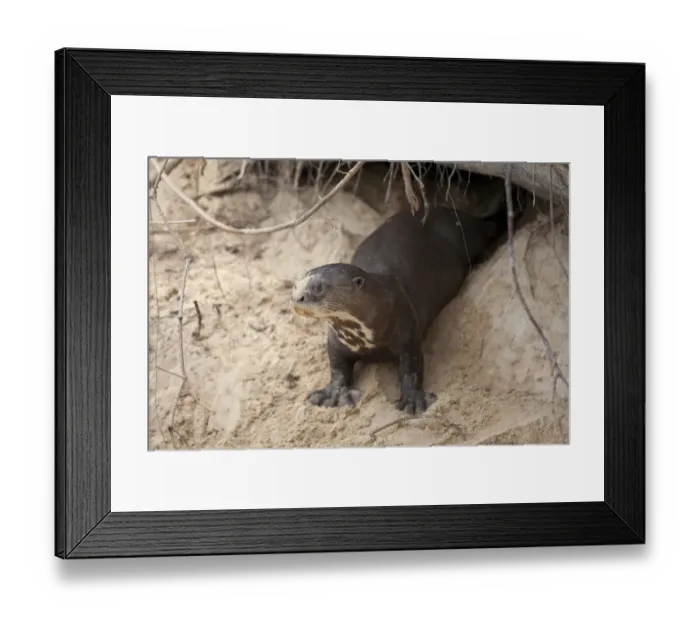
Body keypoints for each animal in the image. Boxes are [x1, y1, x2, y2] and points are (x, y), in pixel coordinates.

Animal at [291, 176, 515, 415]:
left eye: (319, 287)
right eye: (296, 286)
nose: (297, 298)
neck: (365, 337)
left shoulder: (408, 330)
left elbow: (411, 368)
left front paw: (412, 400)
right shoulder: (335, 341)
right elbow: (337, 366)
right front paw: (333, 393)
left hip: (465, 234)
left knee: (488, 229)